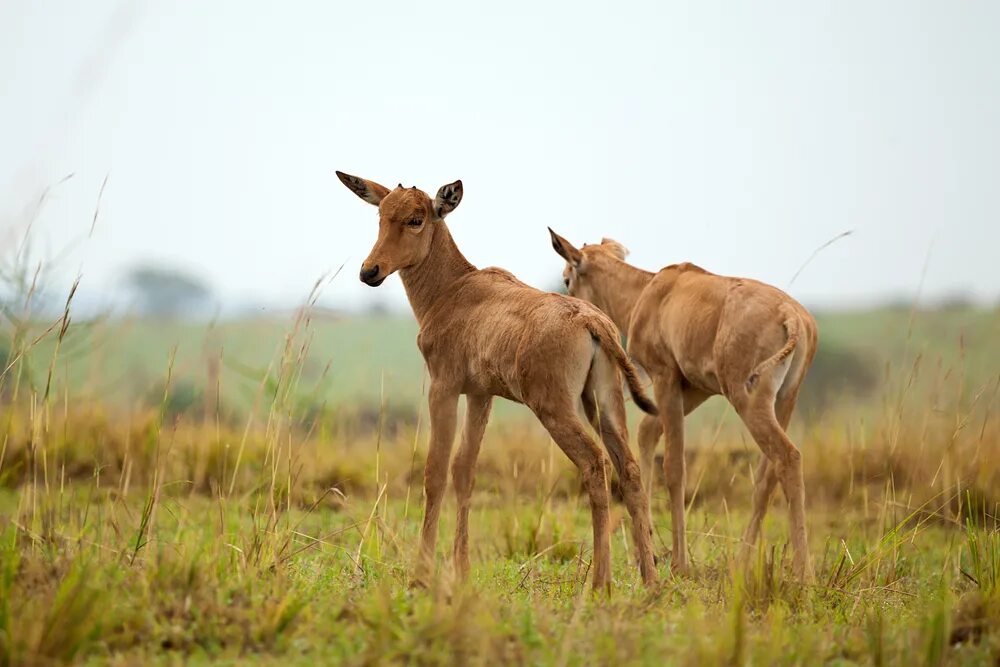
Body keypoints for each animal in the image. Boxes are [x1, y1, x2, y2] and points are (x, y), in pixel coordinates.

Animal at [338, 174, 664, 596]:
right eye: (381, 214)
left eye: (416, 219)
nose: (370, 271)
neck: (457, 288)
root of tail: (592, 322)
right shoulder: (481, 394)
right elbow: (465, 470)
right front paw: (461, 572)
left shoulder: (443, 389)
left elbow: (435, 472)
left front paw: (421, 577)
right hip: (605, 404)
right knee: (630, 469)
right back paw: (651, 581)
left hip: (555, 410)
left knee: (595, 463)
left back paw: (599, 583)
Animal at [548, 232, 820, 576]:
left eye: (567, 277)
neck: (652, 290)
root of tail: (791, 315)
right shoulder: (694, 389)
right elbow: (647, 432)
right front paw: (646, 553)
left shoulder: (665, 378)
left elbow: (674, 466)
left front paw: (678, 562)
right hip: (785, 400)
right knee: (766, 475)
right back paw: (742, 563)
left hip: (747, 400)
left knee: (788, 457)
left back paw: (803, 572)